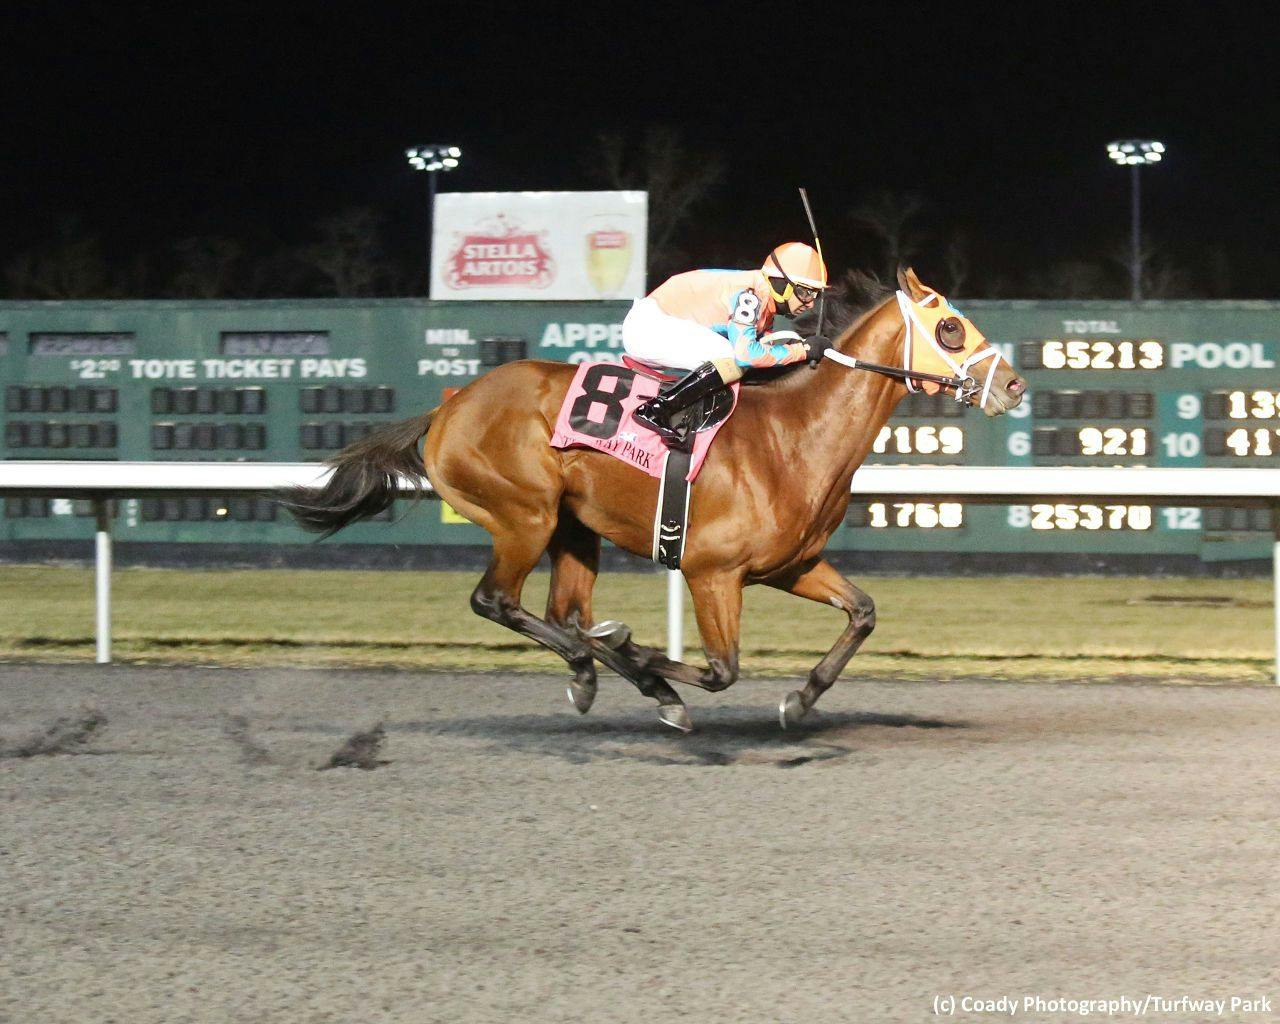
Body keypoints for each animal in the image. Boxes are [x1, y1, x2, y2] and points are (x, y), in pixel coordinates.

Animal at [285, 263, 1024, 727]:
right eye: (951, 328)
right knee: (498, 601)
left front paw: (801, 699)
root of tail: (449, 407)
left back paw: (598, 670)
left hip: (572, 528)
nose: (1014, 386)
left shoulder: (792, 566)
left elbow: (863, 613)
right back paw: (611, 668)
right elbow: (722, 670)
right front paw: (648, 664)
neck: (793, 434)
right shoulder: (710, 572)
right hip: (523, 515)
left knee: (563, 614)